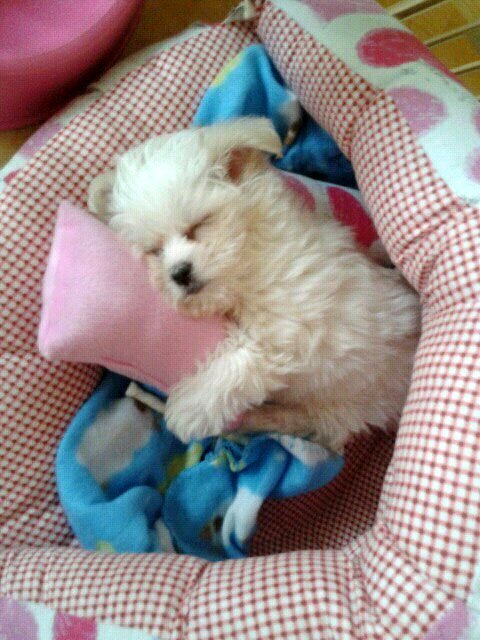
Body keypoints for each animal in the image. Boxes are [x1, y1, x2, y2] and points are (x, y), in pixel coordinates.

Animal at [88, 117, 420, 452]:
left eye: (199, 225)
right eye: (154, 251)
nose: (179, 272)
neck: (249, 264)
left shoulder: (297, 323)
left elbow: (250, 355)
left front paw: (188, 408)